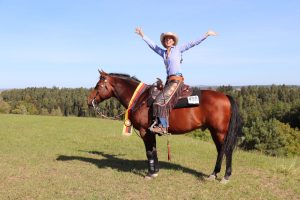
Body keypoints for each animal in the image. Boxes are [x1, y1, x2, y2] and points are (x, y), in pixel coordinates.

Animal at [86, 70, 241, 184]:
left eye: (98, 85)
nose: (89, 101)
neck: (141, 99)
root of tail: (226, 96)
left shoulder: (144, 132)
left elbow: (149, 152)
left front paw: (150, 173)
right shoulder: (151, 132)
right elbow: (154, 151)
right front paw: (155, 172)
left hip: (220, 132)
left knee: (227, 151)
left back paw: (226, 176)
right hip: (215, 132)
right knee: (220, 150)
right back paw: (213, 174)